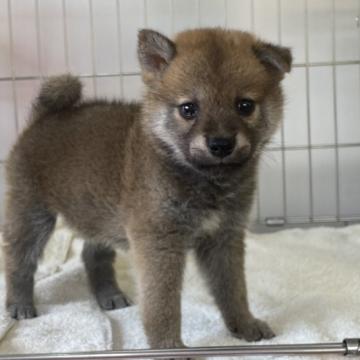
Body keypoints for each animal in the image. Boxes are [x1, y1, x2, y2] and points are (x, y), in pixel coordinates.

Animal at [3, 28, 292, 352]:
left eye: (245, 106)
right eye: (188, 109)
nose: (220, 144)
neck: (203, 180)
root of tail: (44, 117)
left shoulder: (224, 238)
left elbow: (233, 290)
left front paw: (243, 324)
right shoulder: (158, 242)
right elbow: (162, 305)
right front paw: (169, 347)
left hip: (99, 215)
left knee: (92, 255)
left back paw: (109, 295)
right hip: (31, 213)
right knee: (19, 260)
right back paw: (19, 304)